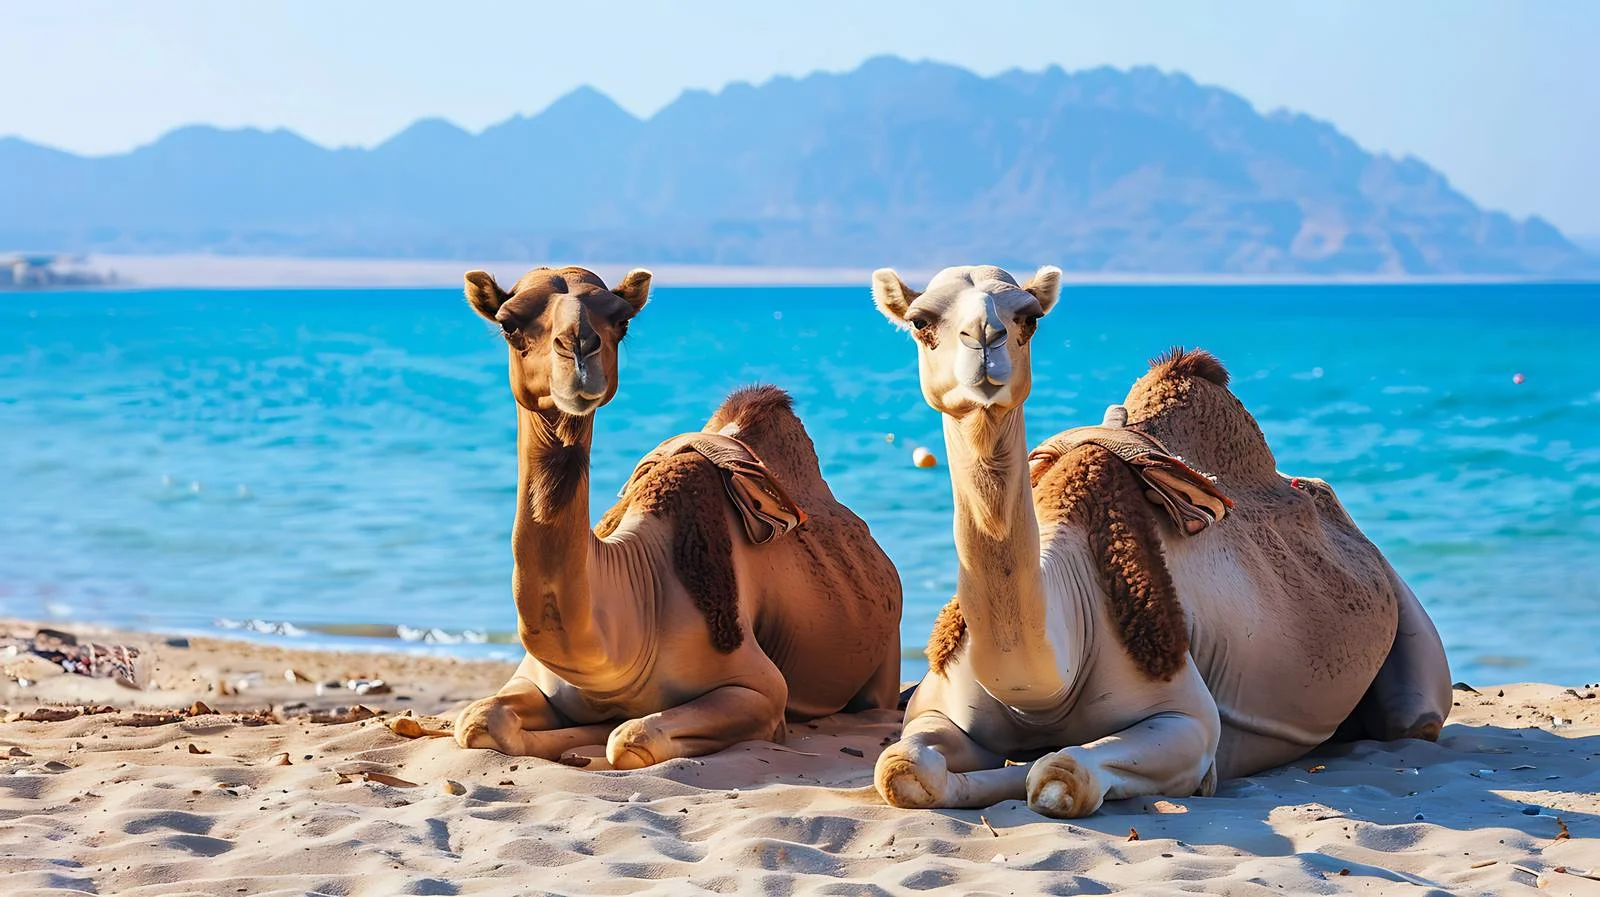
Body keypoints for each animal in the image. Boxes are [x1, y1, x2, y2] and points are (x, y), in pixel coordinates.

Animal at [454, 266, 902, 768]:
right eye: (509, 324)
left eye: (621, 321)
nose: (580, 350)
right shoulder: (532, 679)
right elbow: (477, 720)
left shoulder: (760, 689)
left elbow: (630, 738)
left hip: (887, 659)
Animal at [869, 264, 1452, 817]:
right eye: (921, 322)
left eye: (1029, 317)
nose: (986, 339)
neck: (1046, 683)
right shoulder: (937, 706)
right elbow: (900, 767)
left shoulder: (1185, 715)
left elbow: (1058, 774)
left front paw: (1201, 777)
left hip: (1404, 632)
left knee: (1412, 717)